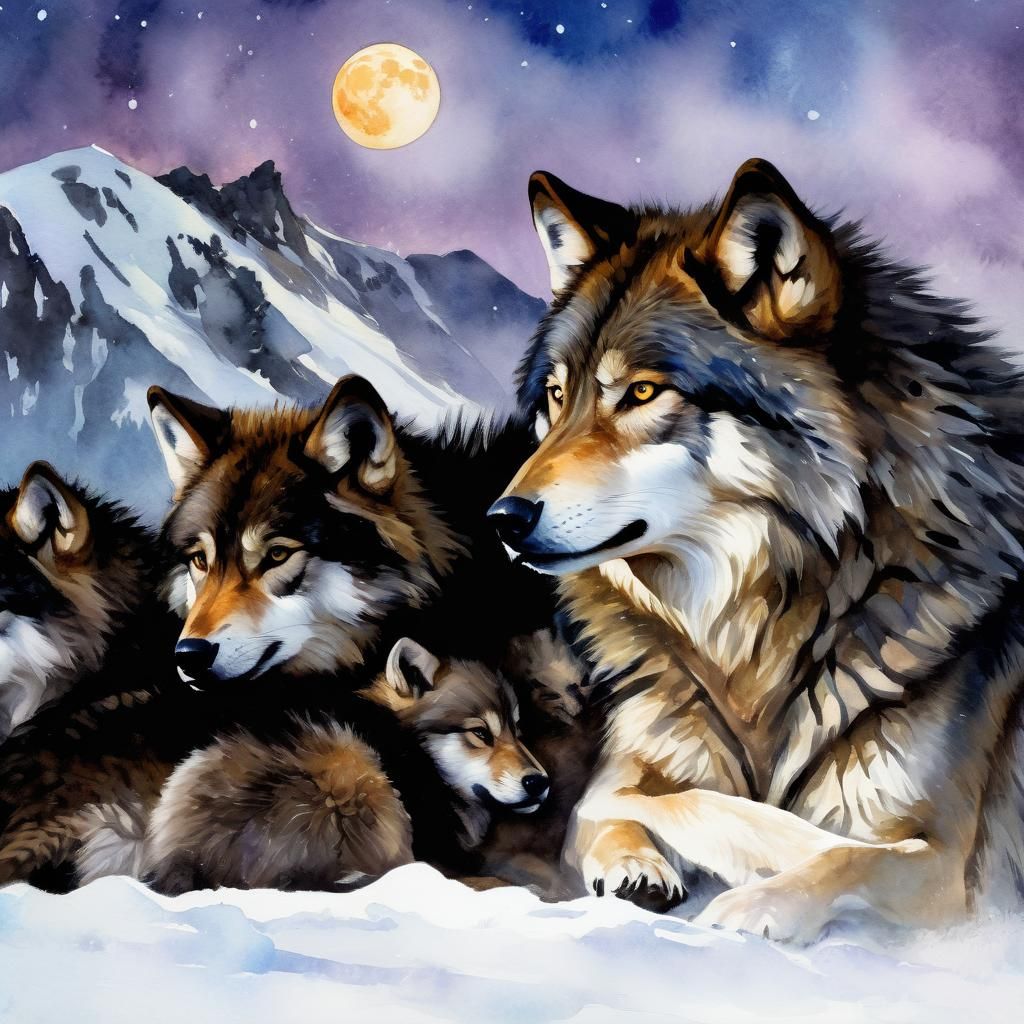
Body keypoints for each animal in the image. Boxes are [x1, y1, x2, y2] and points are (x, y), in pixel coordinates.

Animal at [141, 637, 549, 894]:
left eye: (517, 730)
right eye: (480, 733)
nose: (539, 783)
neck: (415, 756)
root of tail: (186, 858)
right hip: (358, 778)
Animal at [489, 158, 1024, 940]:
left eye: (642, 392)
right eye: (558, 396)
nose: (502, 517)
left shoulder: (944, 867)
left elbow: (843, 852)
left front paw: (759, 900)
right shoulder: (634, 762)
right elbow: (637, 803)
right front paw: (640, 862)